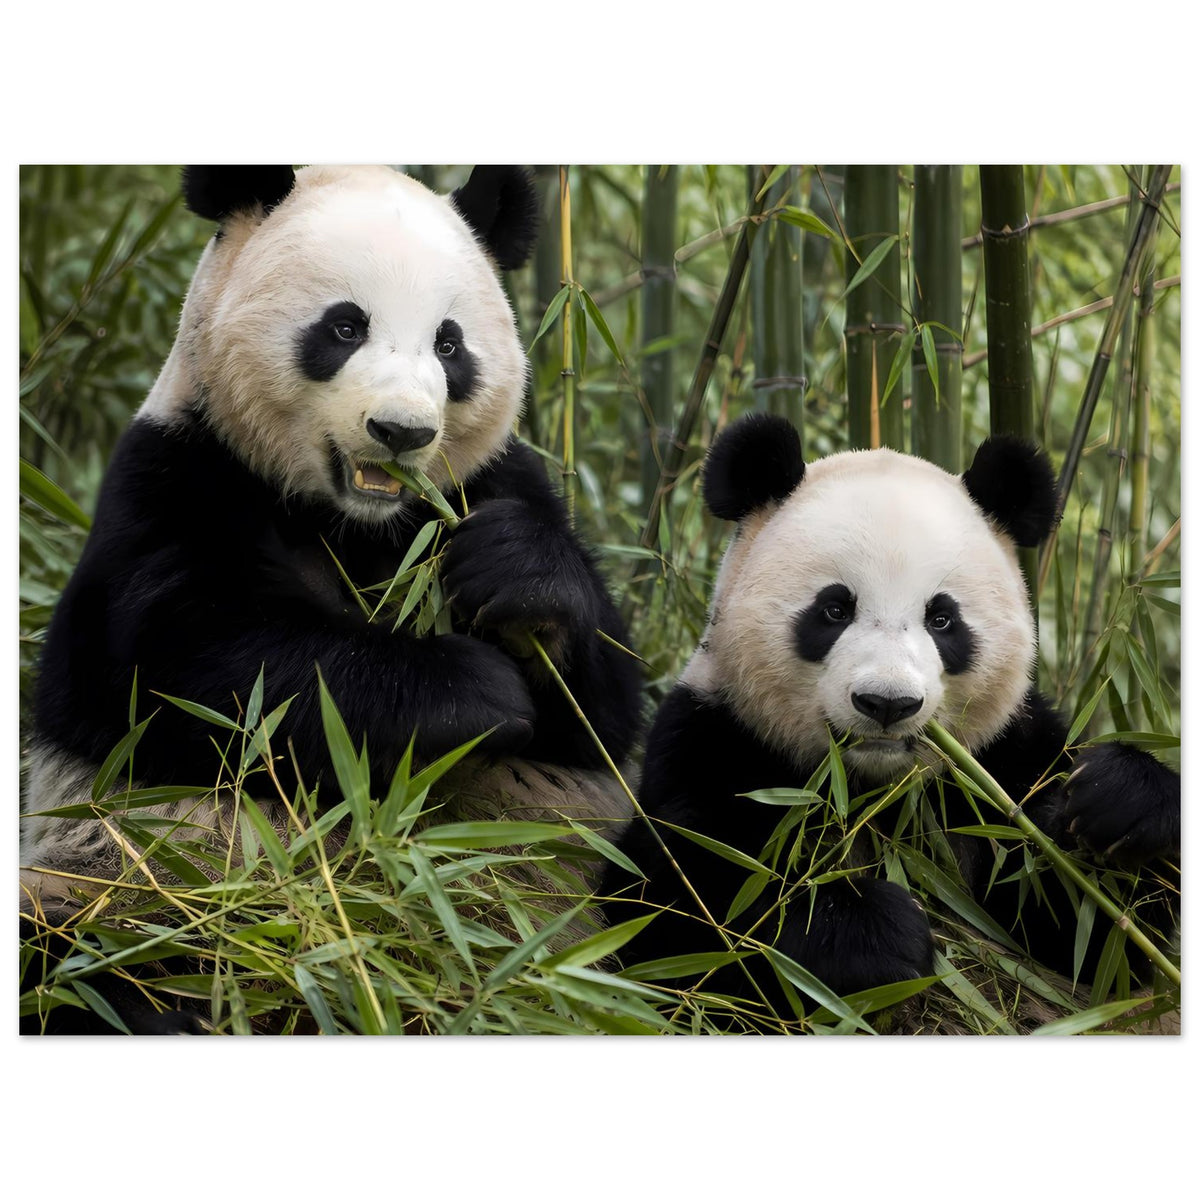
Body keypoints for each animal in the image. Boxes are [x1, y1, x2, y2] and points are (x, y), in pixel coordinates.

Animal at [21, 164, 642, 1033]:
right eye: (345, 327)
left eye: (449, 344)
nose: (402, 432)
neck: (356, 523)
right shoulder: (171, 483)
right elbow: (200, 675)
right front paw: (473, 690)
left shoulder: (489, 484)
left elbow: (603, 716)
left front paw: (520, 581)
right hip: (130, 890)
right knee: (84, 960)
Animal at [603, 413, 1179, 1028]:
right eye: (834, 609)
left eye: (942, 619)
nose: (887, 704)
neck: (872, 791)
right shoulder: (716, 739)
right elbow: (683, 910)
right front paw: (873, 935)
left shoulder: (1001, 762)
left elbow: (1089, 933)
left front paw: (1118, 804)